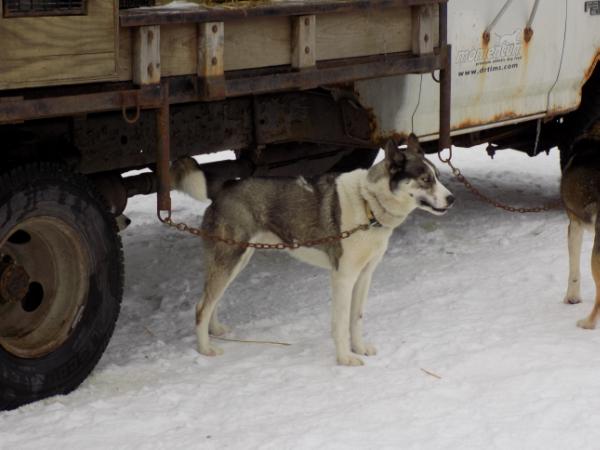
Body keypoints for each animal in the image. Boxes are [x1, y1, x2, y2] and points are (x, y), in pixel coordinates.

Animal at [172, 134, 454, 366]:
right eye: (425, 179)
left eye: (438, 177)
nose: (451, 199)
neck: (368, 203)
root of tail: (225, 186)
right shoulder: (343, 277)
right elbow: (341, 323)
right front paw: (344, 358)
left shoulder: (364, 276)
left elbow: (356, 318)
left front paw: (359, 348)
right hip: (230, 259)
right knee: (201, 307)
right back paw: (205, 349)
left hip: (236, 259)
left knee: (211, 300)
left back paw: (216, 331)